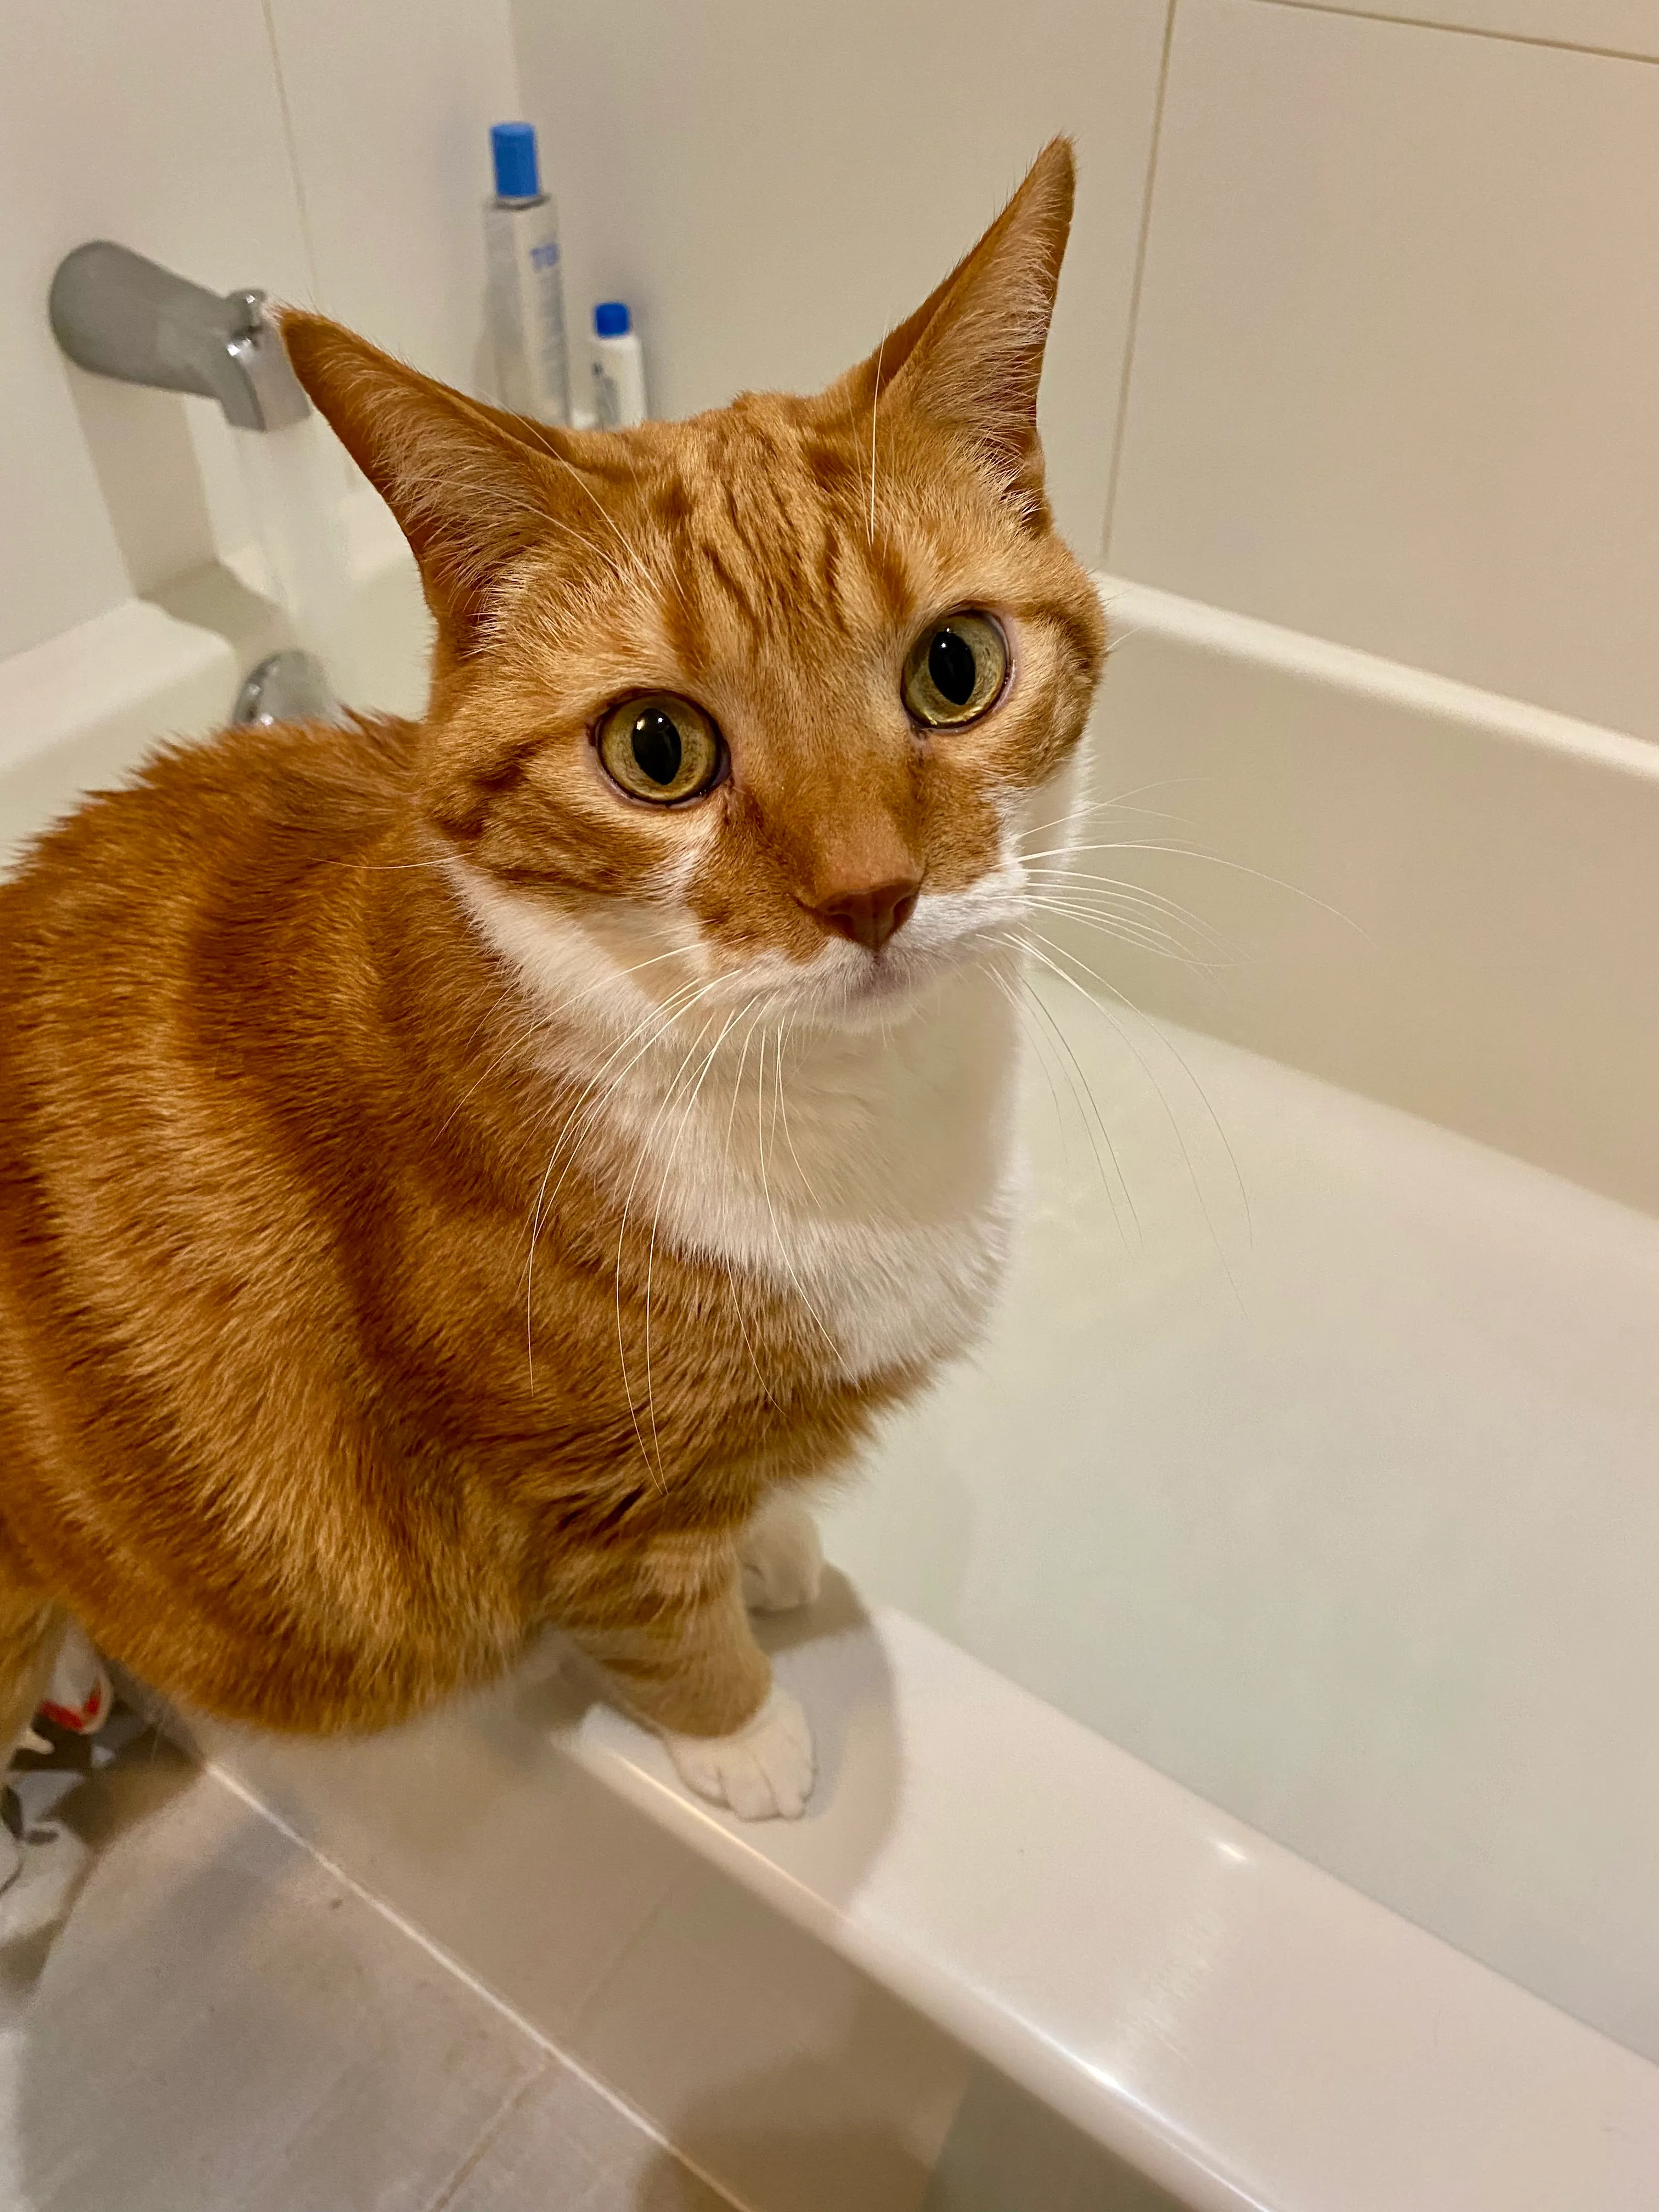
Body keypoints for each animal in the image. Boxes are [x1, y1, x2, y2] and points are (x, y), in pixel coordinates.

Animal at [0, 143, 1106, 1831]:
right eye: (658, 751)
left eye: (955, 669)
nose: (869, 896)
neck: (846, 1114)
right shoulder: (578, 1483)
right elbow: (656, 1612)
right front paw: (745, 1737)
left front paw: (774, 1546)